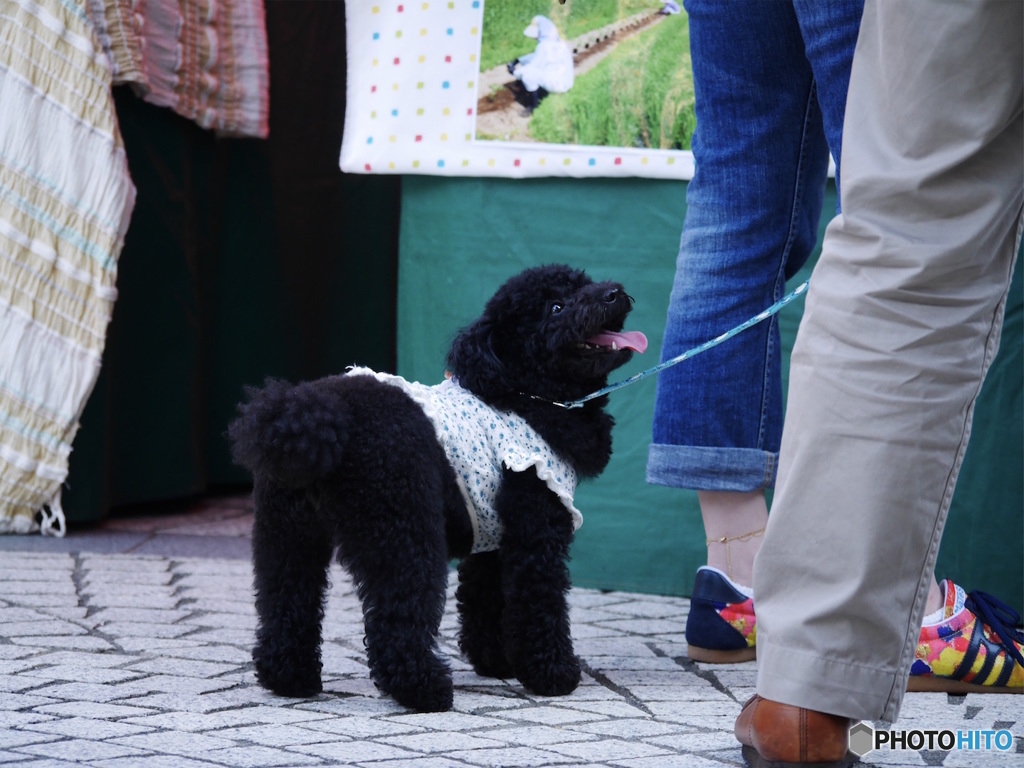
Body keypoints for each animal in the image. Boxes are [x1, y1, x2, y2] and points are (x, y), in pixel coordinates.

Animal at [231, 266, 647, 716]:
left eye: (585, 284)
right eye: (555, 306)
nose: (614, 293)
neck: (526, 395)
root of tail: (316, 416)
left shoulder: (494, 537)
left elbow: (486, 601)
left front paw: (496, 662)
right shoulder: (535, 532)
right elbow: (540, 603)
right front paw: (553, 675)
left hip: (288, 536)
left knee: (286, 603)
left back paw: (290, 679)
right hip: (404, 532)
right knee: (396, 621)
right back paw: (424, 689)